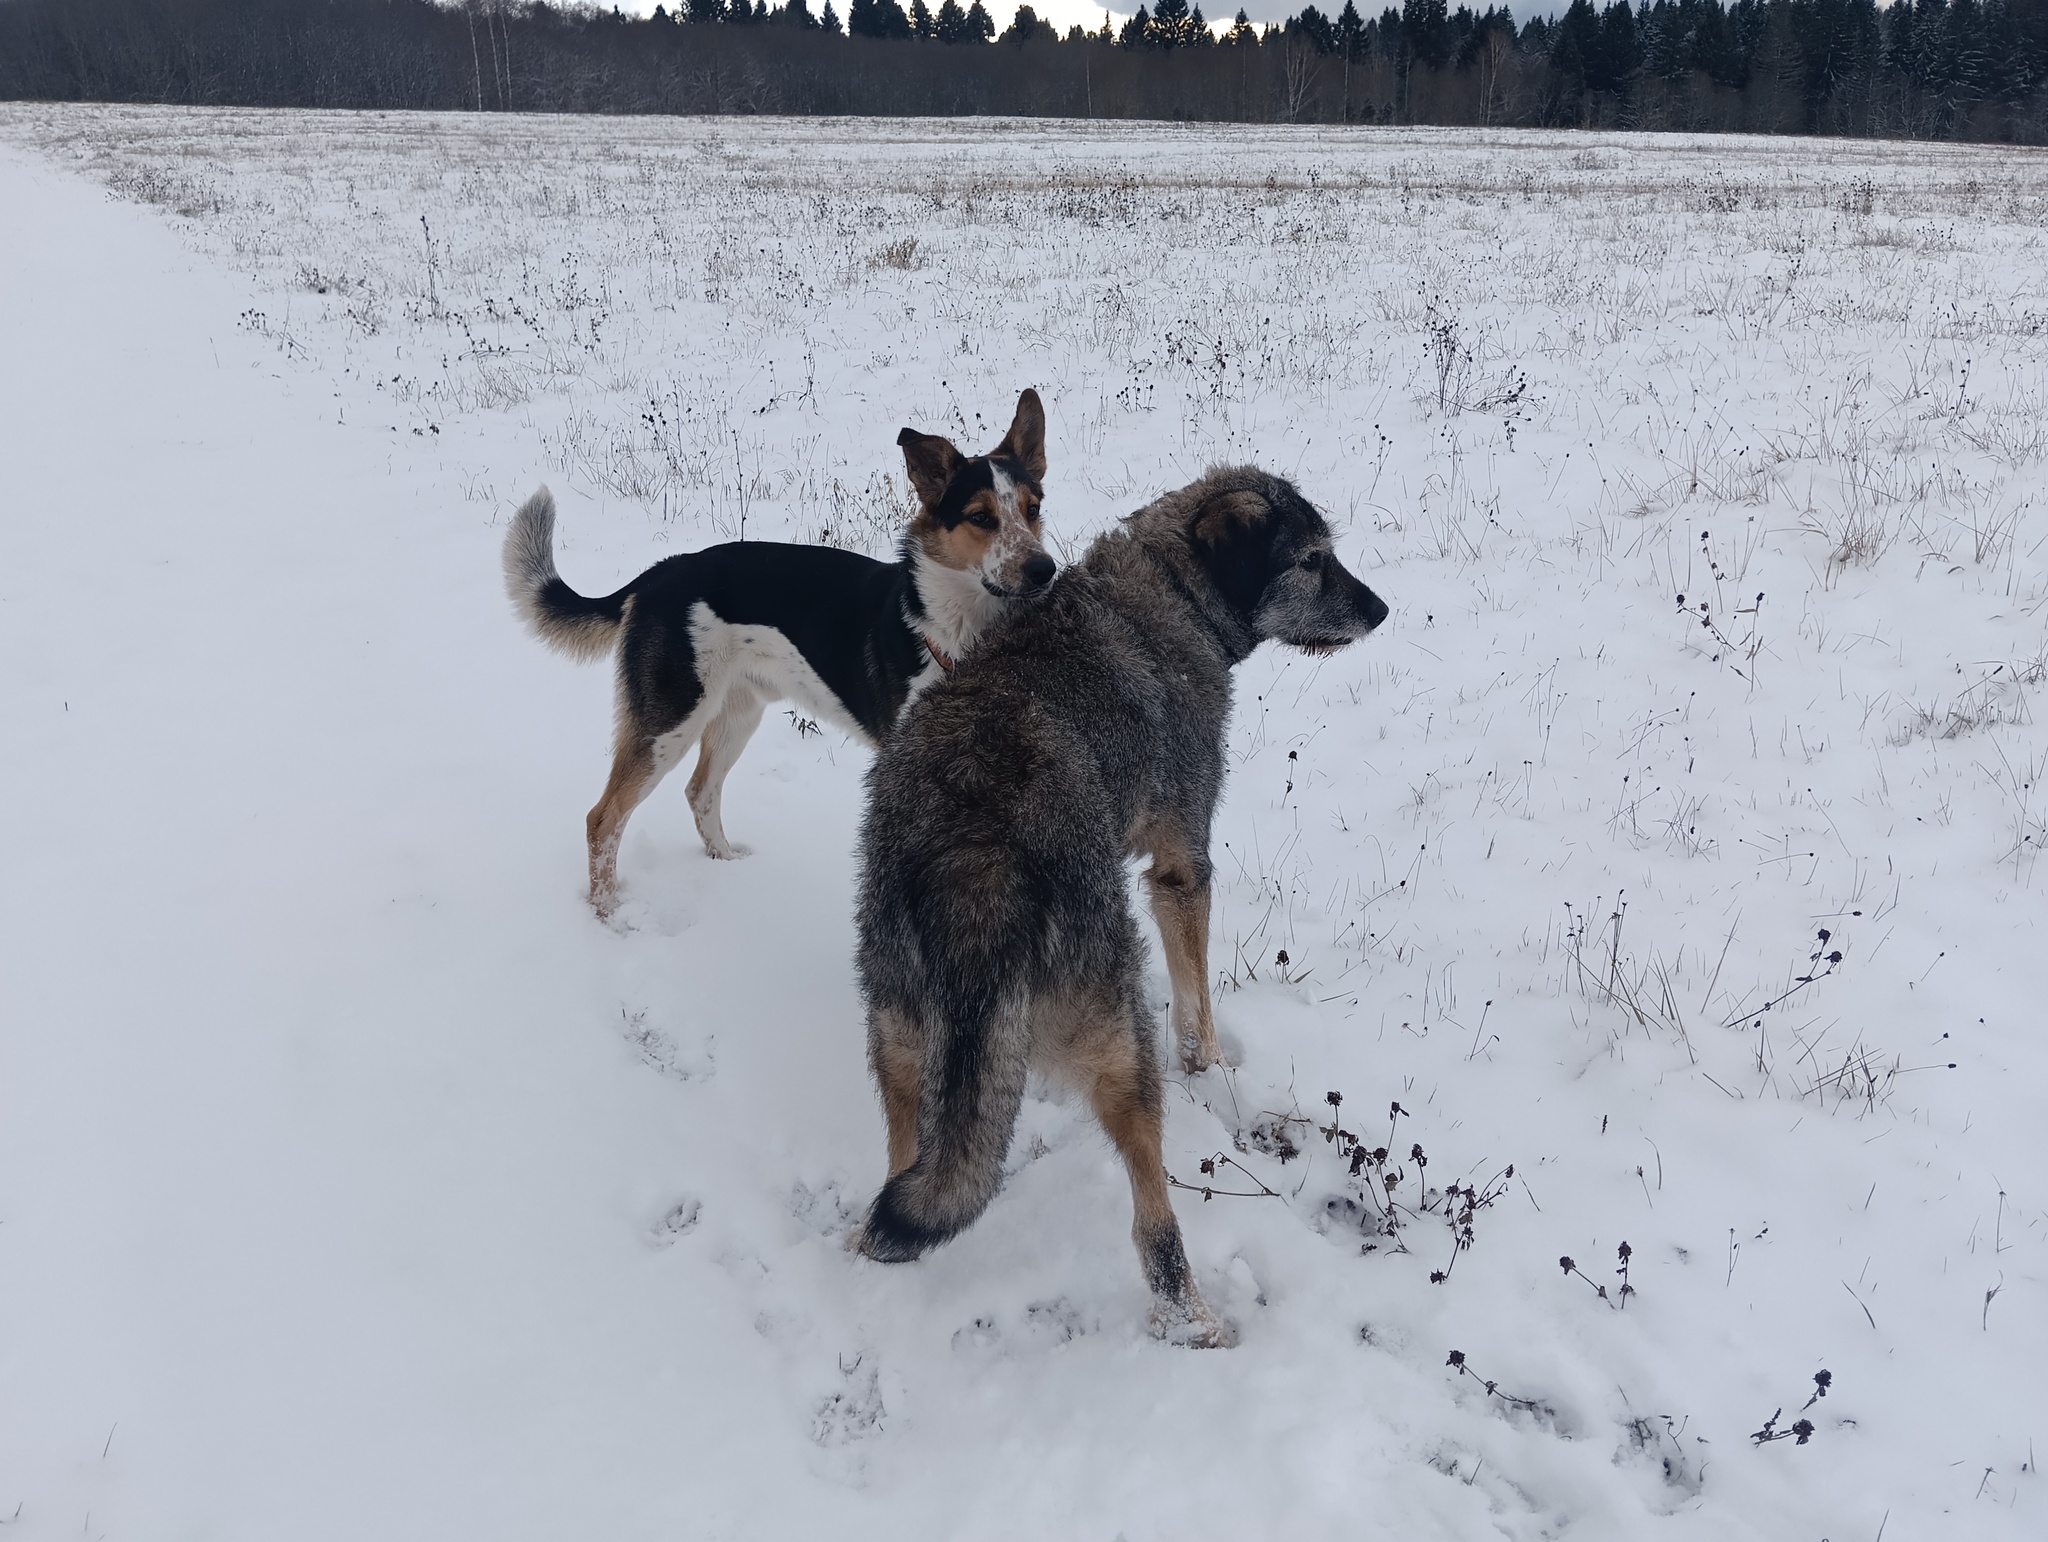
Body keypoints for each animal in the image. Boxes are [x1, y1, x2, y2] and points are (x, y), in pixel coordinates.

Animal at [503, 391, 1056, 913]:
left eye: (1033, 510)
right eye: (981, 517)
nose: (1043, 570)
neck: (959, 629)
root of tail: (658, 573)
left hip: (738, 713)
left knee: (700, 792)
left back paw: (728, 865)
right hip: (671, 721)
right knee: (604, 818)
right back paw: (610, 915)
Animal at [847, 462, 1392, 1343]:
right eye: (1313, 560)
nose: (1380, 610)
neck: (1172, 587)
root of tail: (977, 858)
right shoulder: (1182, 866)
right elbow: (1197, 1006)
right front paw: (1213, 1070)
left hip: (897, 1035)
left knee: (907, 1173)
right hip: (1119, 1041)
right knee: (1153, 1219)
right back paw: (1195, 1318)